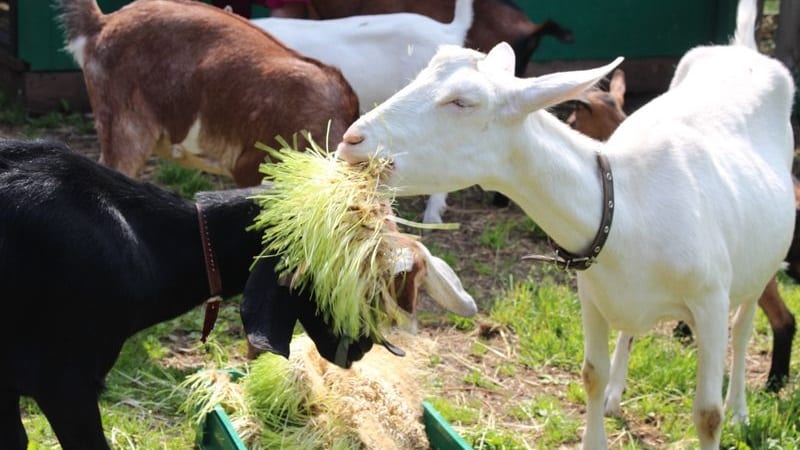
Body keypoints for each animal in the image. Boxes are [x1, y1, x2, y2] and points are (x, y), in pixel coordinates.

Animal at [334, 0, 796, 446]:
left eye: (462, 102)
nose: (352, 141)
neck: (630, 208)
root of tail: (743, 50)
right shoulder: (591, 294)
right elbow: (592, 375)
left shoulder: (709, 302)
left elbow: (706, 414)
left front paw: (724, 413)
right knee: (631, 331)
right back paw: (616, 397)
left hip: (759, 265)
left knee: (744, 325)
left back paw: (740, 409)